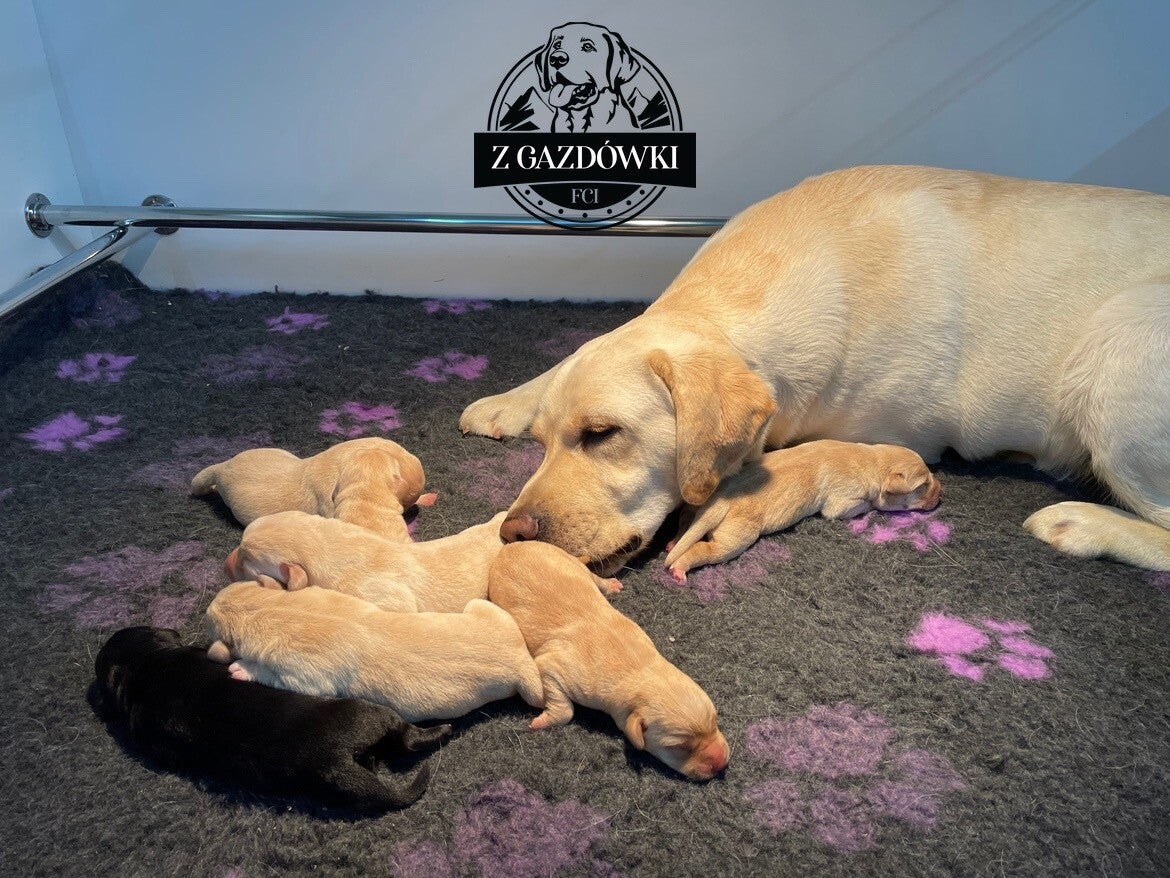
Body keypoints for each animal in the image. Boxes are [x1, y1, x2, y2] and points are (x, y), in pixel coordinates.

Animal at [206, 581, 545, 722]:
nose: (208, 605)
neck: (271, 609)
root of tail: (520, 658)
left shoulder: (305, 677)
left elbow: (273, 674)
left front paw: (242, 667)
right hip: (487, 611)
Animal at [488, 541, 729, 780]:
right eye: (680, 747)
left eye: (715, 720)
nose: (721, 764)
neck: (640, 669)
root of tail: (509, 547)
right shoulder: (553, 668)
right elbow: (565, 708)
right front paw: (540, 722)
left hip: (570, 562)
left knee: (592, 575)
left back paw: (610, 584)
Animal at [664, 440, 940, 580]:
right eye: (923, 485)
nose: (942, 493)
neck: (873, 460)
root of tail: (718, 503)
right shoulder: (841, 502)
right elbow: (857, 505)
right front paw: (872, 507)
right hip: (735, 537)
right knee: (706, 549)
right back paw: (680, 567)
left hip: (696, 503)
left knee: (685, 518)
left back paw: (675, 541)